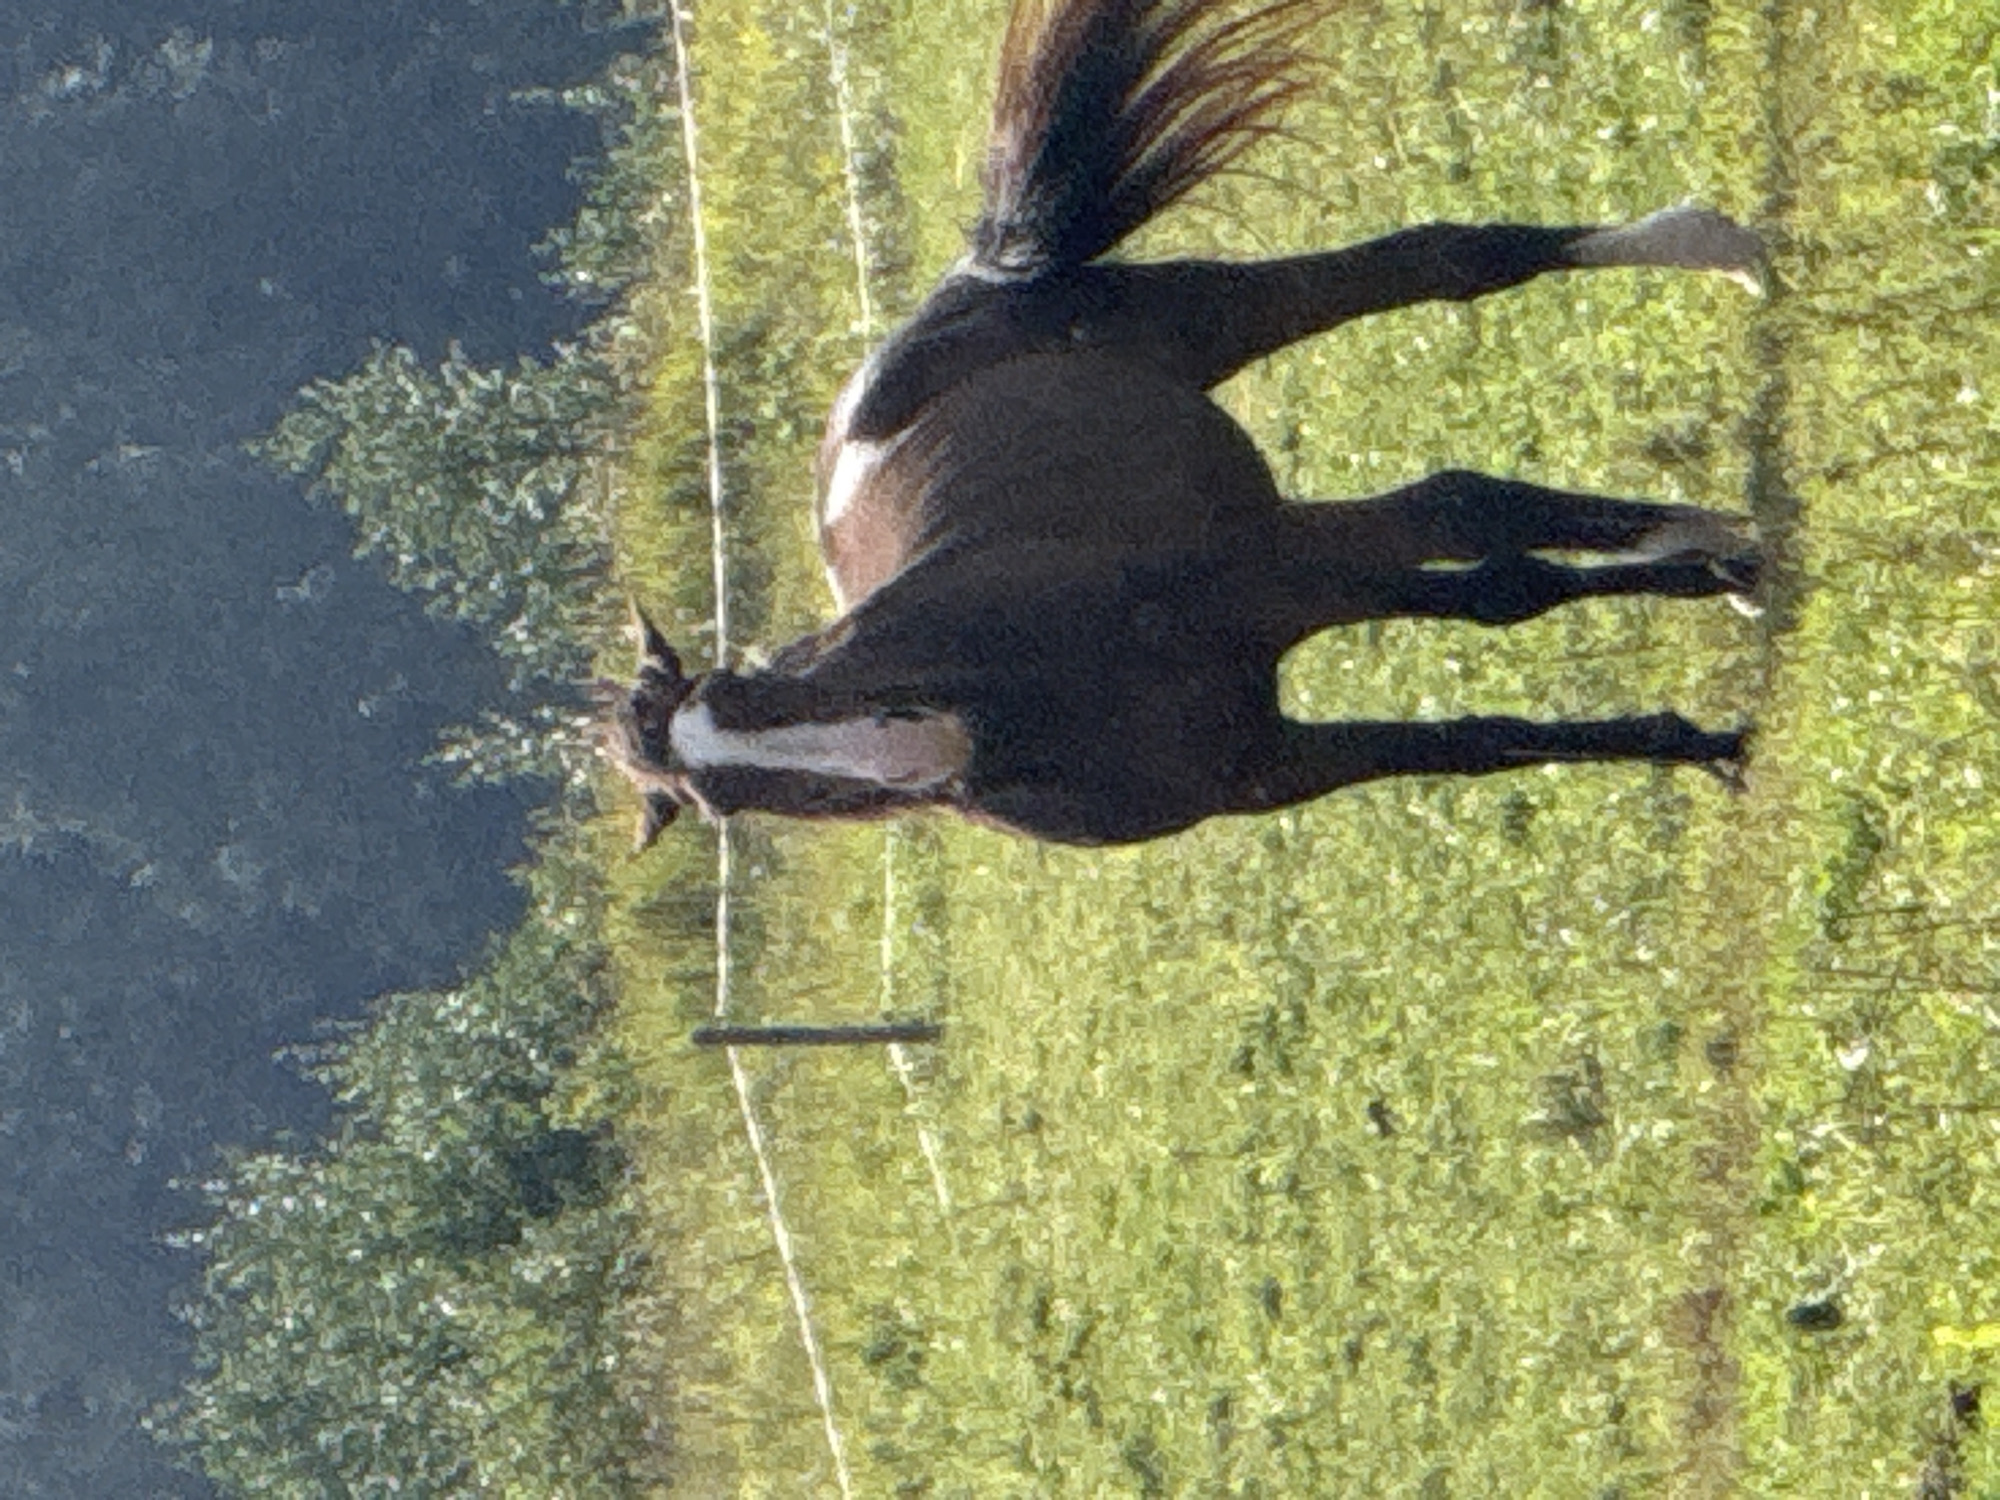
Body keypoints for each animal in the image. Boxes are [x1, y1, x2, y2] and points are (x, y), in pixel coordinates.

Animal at [603, 0, 1763, 850]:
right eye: (722, 803)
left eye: (741, 691)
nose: (915, 749)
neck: (1040, 683)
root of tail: (966, 284)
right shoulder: (1269, 761)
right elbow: (1483, 729)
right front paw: (1698, 734)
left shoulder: (1274, 570)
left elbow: (1495, 571)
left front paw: (1723, 586)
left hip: (1224, 323)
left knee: (1452, 282)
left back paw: (1723, 257)